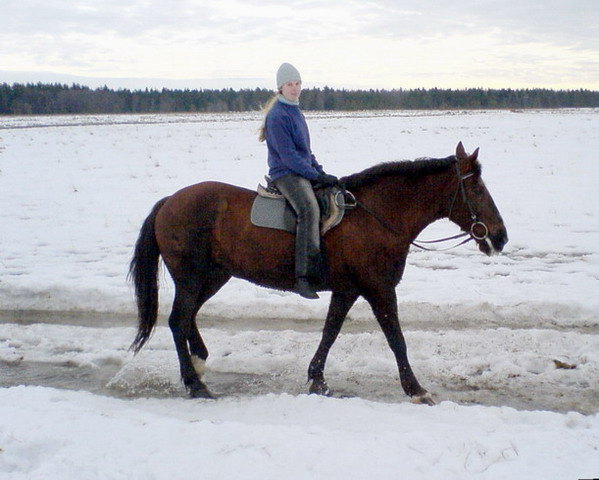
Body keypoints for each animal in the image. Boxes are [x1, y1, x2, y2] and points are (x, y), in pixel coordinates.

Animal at [129, 141, 508, 404]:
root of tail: (170, 201)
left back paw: (199, 362)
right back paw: (195, 384)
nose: (500, 236)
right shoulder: (379, 289)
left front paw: (317, 379)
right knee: (178, 319)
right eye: (477, 189)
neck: (375, 216)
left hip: (212, 277)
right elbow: (396, 339)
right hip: (193, 278)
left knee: (187, 317)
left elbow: (330, 331)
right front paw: (415, 389)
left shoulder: (348, 289)